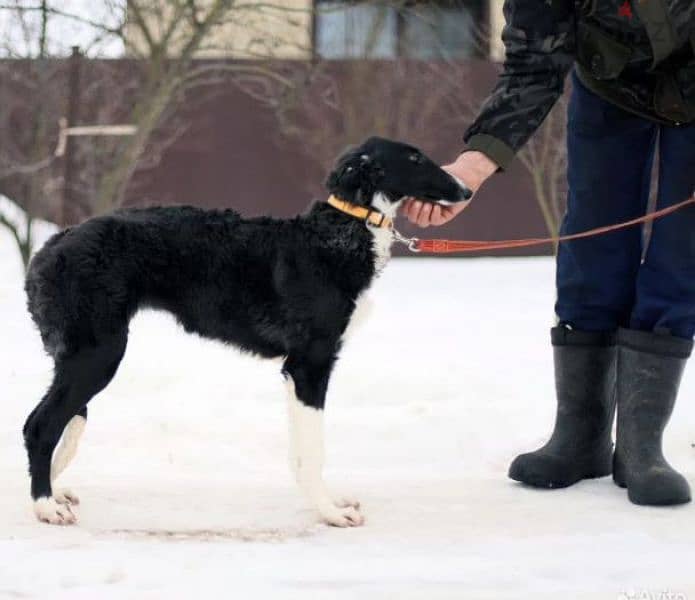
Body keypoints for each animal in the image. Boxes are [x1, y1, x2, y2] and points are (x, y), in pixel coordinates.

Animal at [23, 136, 468, 524]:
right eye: (414, 158)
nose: (465, 190)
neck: (338, 235)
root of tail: (52, 244)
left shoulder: (294, 370)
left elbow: (300, 453)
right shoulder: (311, 364)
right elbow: (314, 450)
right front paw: (329, 512)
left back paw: (54, 492)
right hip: (98, 354)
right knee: (39, 426)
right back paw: (45, 505)